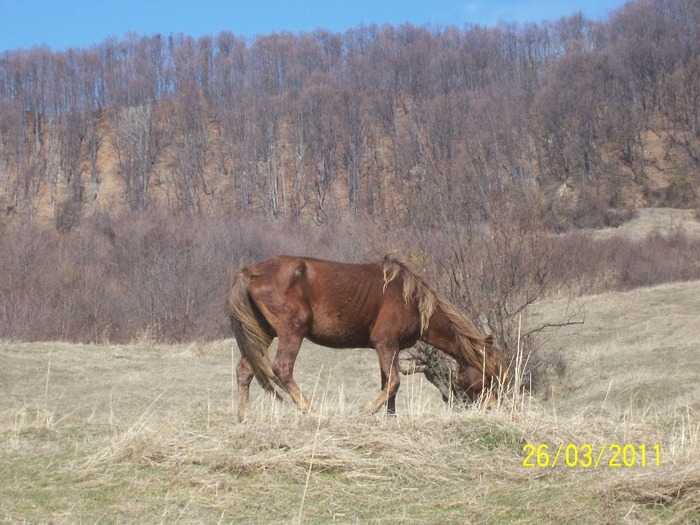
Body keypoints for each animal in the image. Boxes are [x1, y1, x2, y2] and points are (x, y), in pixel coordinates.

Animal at [230, 252, 508, 420]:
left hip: (263, 333)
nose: (493, 406)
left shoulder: (390, 348)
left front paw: (390, 418)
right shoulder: (385, 343)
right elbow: (394, 382)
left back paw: (245, 417)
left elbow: (388, 384)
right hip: (291, 332)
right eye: (487, 376)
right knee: (282, 368)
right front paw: (367, 411)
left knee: (245, 369)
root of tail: (251, 272)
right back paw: (310, 411)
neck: (412, 300)